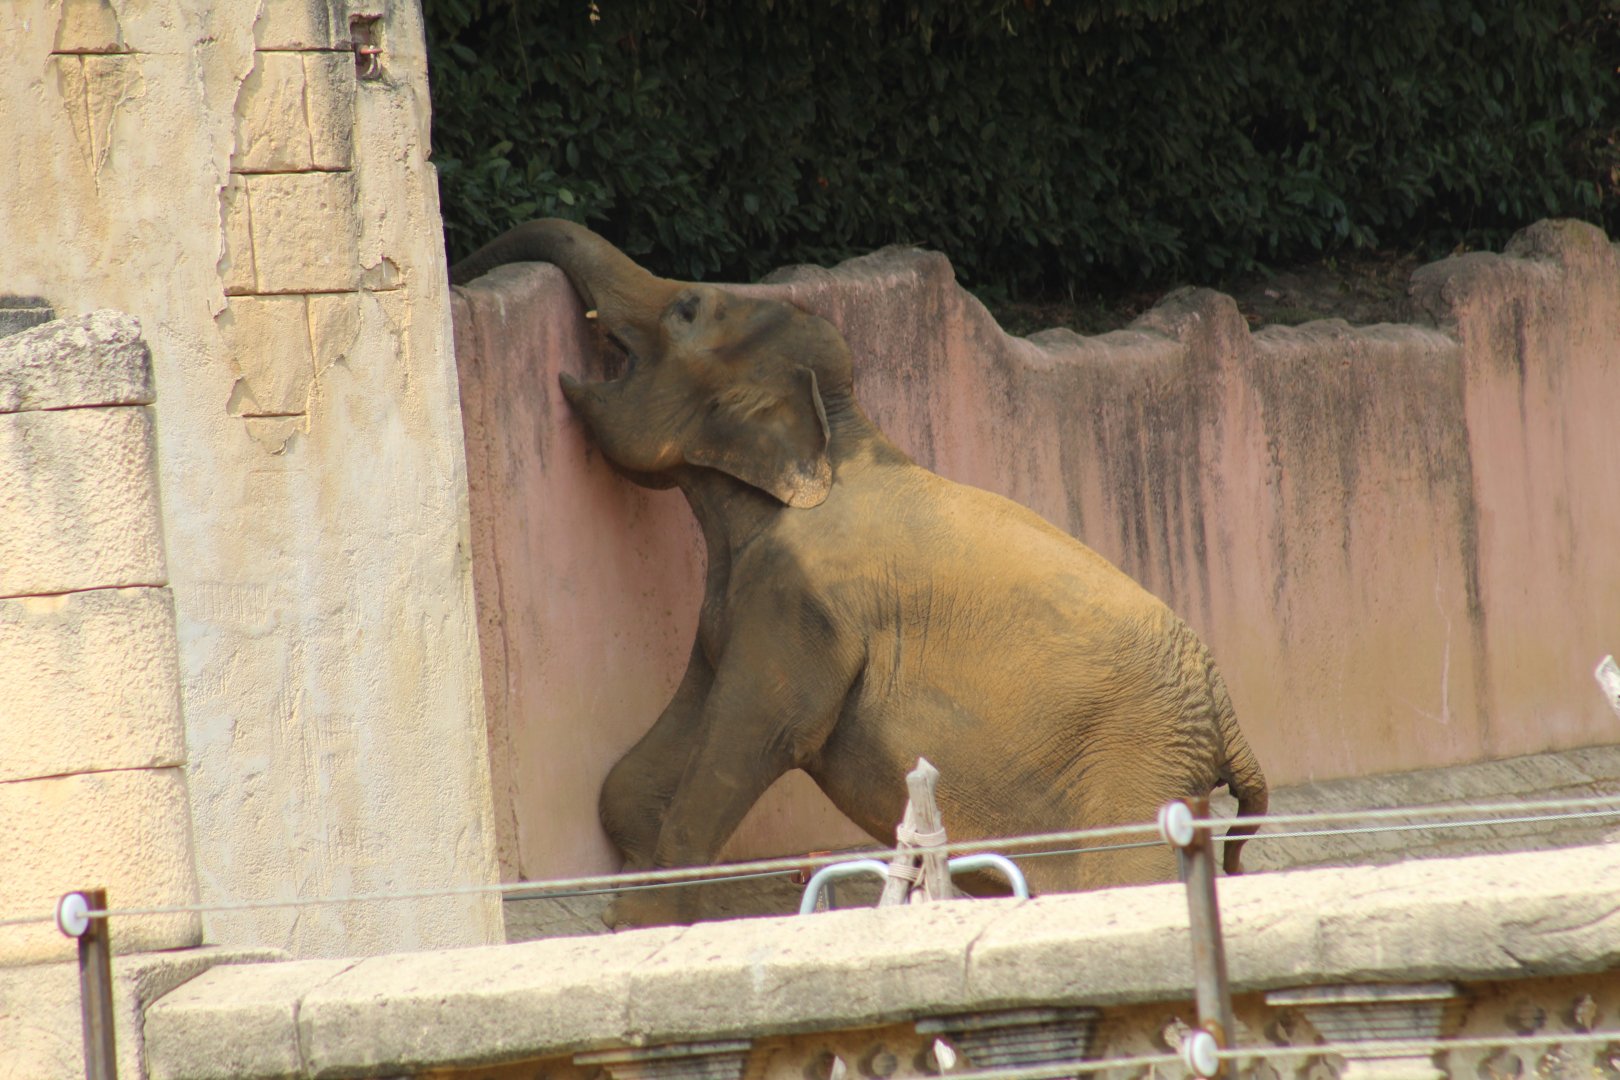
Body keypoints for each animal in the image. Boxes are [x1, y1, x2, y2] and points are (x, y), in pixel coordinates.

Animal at [451, 220, 1269, 928]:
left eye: (686, 310)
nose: (461, 267)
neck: (836, 428)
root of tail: (1228, 719)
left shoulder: (802, 602)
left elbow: (764, 731)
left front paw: (636, 925)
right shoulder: (743, 599)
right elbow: (668, 742)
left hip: (1135, 774)